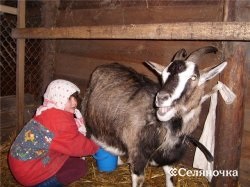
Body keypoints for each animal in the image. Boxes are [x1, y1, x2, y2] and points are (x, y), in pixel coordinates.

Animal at [82, 46, 227, 186]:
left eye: (193, 77)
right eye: (163, 76)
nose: (161, 98)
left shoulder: (166, 157)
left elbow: (171, 176)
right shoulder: (138, 158)